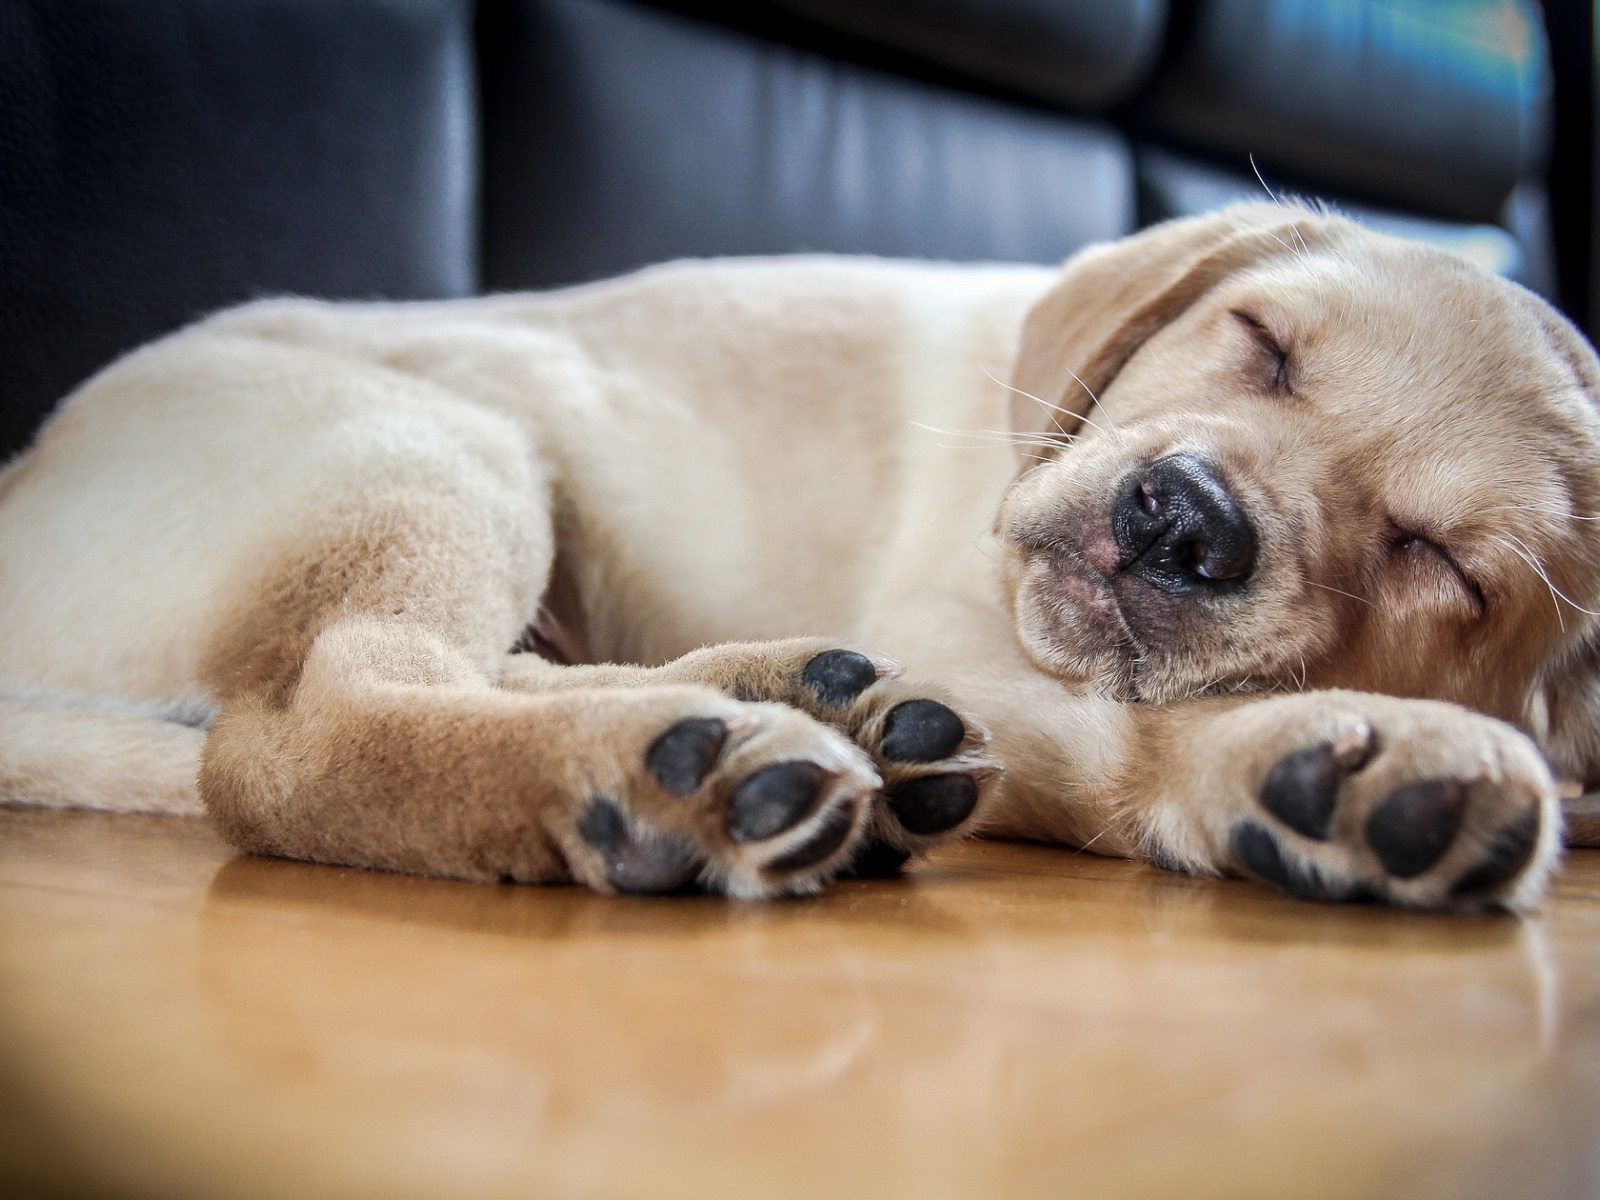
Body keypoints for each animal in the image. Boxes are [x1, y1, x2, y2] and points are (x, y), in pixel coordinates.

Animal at [3, 204, 1600, 908]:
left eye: (1440, 560)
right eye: (1261, 343)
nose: (1184, 520)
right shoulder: (974, 630)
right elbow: (1138, 736)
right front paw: (1324, 765)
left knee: (438, 674)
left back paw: (788, 707)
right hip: (430, 448)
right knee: (300, 731)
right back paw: (666, 780)